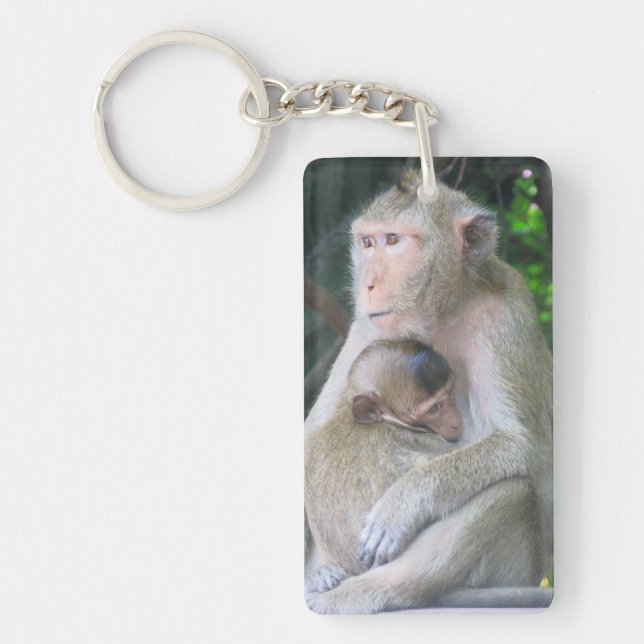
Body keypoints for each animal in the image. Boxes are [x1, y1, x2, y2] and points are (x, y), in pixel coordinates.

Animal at [304, 168, 552, 613]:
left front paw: (402, 504)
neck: (442, 311)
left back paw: (366, 593)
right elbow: (309, 436)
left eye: (393, 240)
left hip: (517, 568)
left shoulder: (507, 317)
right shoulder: (367, 326)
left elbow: (524, 448)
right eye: (367, 243)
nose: (368, 284)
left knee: (513, 491)